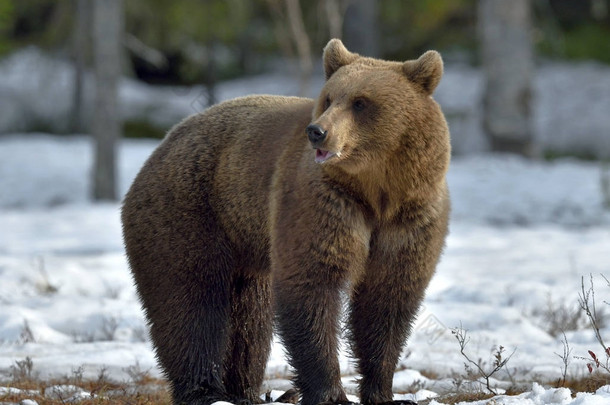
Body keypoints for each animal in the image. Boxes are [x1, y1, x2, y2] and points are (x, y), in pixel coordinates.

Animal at [122, 38, 446, 404]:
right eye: (329, 97)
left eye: (361, 102)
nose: (318, 131)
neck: (375, 191)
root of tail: (161, 145)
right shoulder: (322, 203)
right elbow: (311, 285)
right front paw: (330, 393)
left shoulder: (409, 217)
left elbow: (387, 300)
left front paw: (385, 392)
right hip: (191, 213)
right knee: (192, 303)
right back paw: (207, 391)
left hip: (245, 247)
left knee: (250, 321)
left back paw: (244, 390)